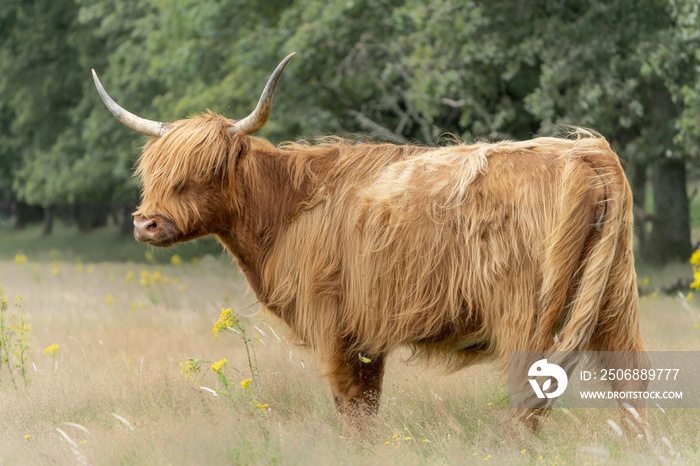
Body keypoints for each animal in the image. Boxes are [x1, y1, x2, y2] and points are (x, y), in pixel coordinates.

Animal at [94, 53, 652, 434]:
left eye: (204, 171)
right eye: (152, 171)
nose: (146, 224)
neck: (286, 211)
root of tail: (585, 152)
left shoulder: (338, 326)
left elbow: (351, 412)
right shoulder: (367, 336)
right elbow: (366, 409)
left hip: (526, 314)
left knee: (529, 398)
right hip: (614, 302)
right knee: (630, 382)